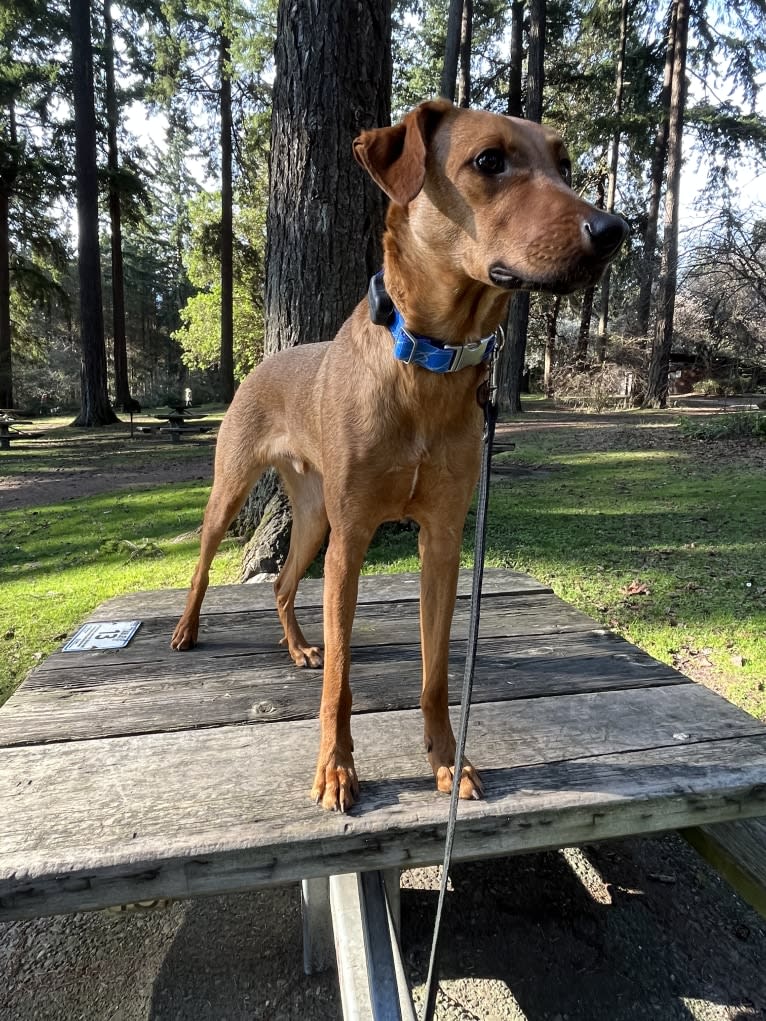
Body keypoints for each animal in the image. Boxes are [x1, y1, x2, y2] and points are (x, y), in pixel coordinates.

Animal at [170, 99, 625, 808]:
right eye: (488, 160)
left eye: (565, 164)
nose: (614, 230)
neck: (430, 363)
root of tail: (264, 361)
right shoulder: (352, 537)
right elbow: (341, 680)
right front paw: (336, 768)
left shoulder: (441, 538)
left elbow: (436, 673)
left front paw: (446, 760)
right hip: (239, 487)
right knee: (203, 564)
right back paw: (188, 631)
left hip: (313, 514)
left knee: (280, 582)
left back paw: (299, 648)